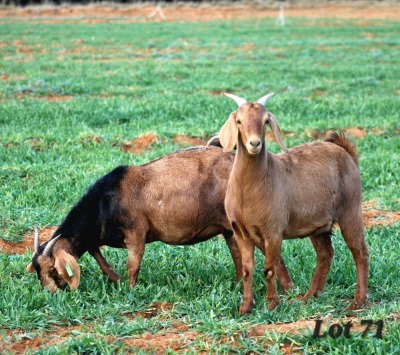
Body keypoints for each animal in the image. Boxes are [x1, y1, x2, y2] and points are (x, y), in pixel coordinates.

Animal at [27, 146, 294, 294]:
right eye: (37, 270)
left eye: (53, 269)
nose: (52, 293)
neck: (106, 200)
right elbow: (94, 249)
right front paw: (114, 278)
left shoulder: (136, 233)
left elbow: (133, 265)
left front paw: (129, 289)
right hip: (230, 228)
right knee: (238, 253)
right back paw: (240, 284)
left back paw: (289, 288)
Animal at [220, 93, 370, 316]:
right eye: (239, 121)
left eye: (265, 121)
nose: (254, 144)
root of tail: (345, 151)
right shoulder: (241, 232)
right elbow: (247, 270)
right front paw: (245, 308)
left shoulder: (273, 231)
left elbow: (269, 268)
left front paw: (272, 304)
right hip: (319, 225)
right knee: (325, 254)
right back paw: (309, 297)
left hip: (350, 209)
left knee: (360, 252)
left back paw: (357, 302)